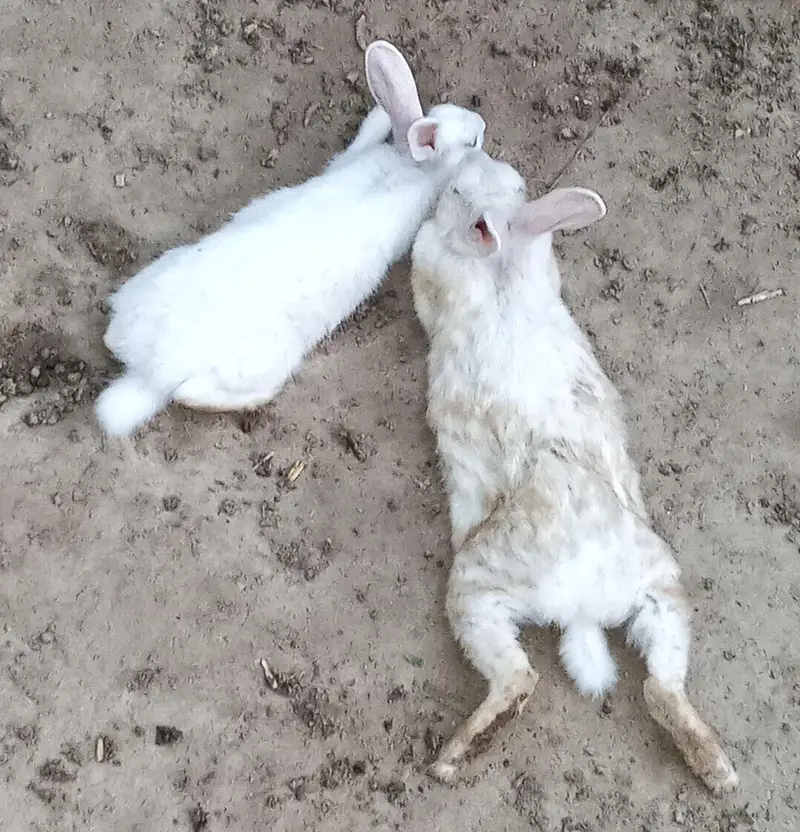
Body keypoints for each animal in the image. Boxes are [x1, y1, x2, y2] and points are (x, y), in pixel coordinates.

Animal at [94, 40, 486, 437]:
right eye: (472, 141)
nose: (482, 122)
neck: (414, 168)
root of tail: (151, 372)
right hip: (263, 363)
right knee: (192, 393)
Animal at [409, 150, 739, 794]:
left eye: (459, 191)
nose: (463, 162)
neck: (504, 264)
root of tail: (582, 601)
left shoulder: (432, 264)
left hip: (475, 588)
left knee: (518, 680)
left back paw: (452, 757)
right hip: (661, 588)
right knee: (661, 686)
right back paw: (720, 773)